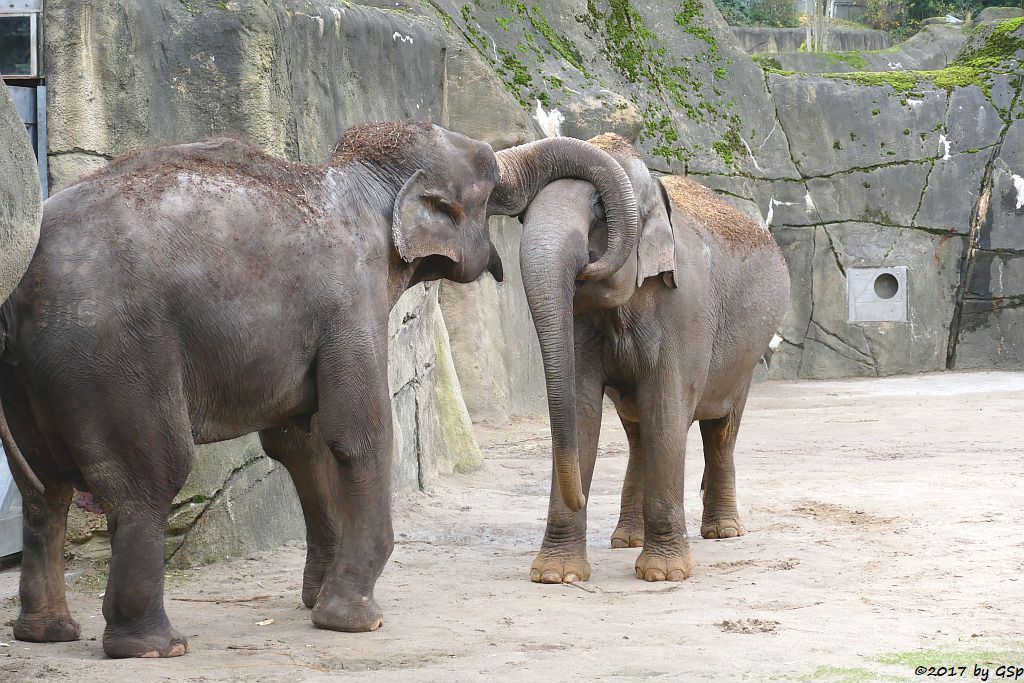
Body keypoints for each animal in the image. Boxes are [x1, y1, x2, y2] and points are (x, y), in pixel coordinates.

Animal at [0, 121, 634, 655]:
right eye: (488, 176)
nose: (594, 263)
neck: (362, 180)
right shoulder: (352, 301)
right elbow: (359, 431)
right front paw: (354, 618)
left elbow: (297, 441)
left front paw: (316, 598)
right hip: (115, 355)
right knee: (148, 480)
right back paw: (154, 646)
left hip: (30, 374)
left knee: (43, 488)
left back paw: (46, 633)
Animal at [520, 135, 790, 589]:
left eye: (599, 207)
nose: (580, 496)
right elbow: (582, 408)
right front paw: (556, 575)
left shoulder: (685, 310)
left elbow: (666, 409)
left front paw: (664, 574)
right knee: (638, 433)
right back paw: (627, 538)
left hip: (745, 358)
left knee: (721, 429)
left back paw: (723, 532)